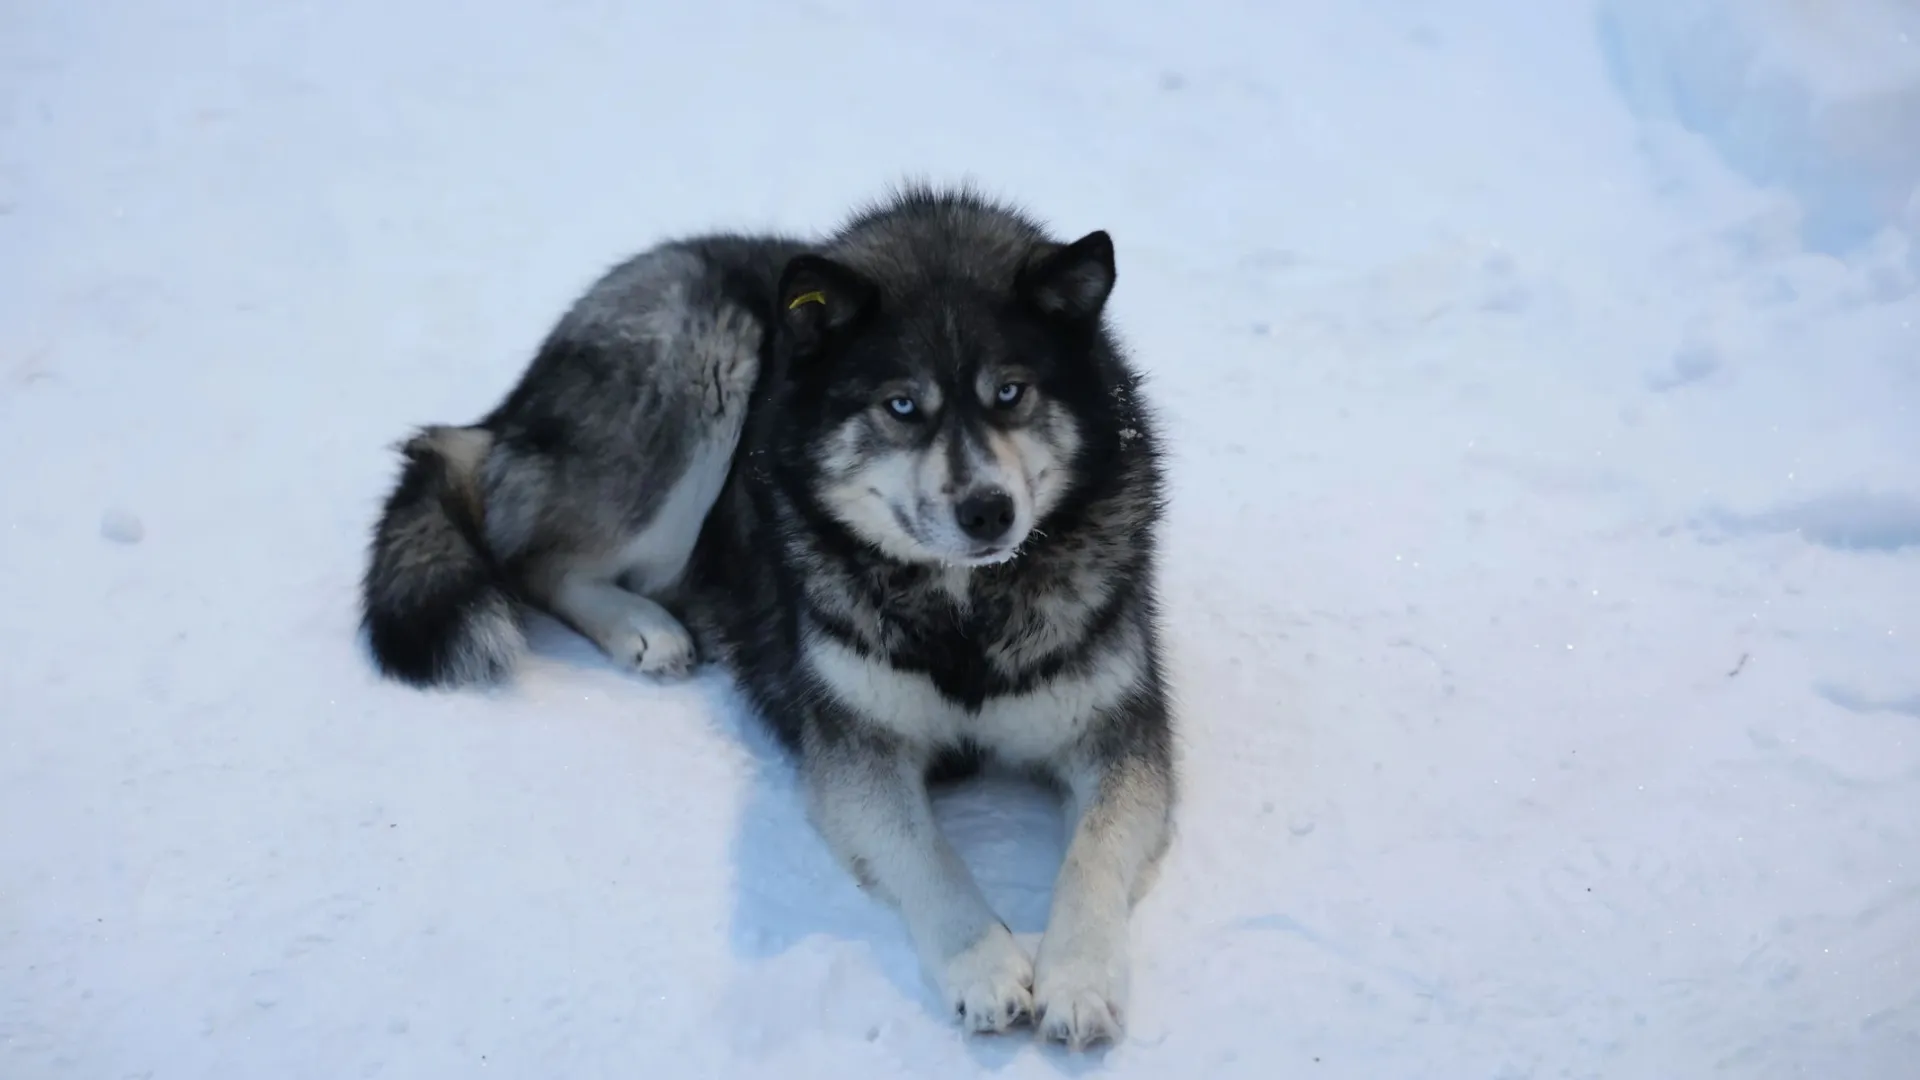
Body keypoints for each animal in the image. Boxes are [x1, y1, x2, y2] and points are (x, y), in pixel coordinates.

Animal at [357, 184, 1167, 1045]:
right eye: (902, 406)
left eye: (1010, 393)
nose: (989, 511)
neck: (965, 608)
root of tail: (508, 409)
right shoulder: (856, 746)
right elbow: (925, 853)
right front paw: (981, 963)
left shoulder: (1118, 731)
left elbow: (1095, 850)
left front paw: (1079, 979)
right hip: (702, 365)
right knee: (540, 560)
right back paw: (645, 627)